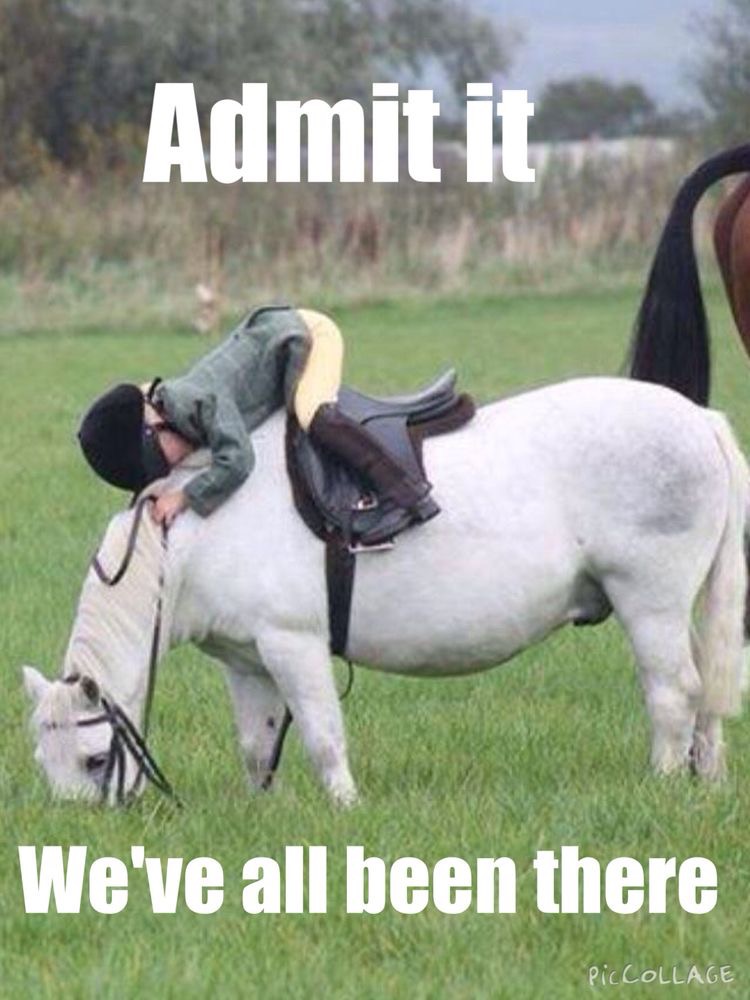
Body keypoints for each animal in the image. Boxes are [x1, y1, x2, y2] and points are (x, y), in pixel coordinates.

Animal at [22, 376, 749, 806]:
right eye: (41, 760)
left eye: (94, 759)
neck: (199, 532)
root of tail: (699, 417)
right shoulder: (247, 663)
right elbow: (257, 746)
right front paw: (263, 812)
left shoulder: (293, 646)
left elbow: (321, 735)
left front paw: (345, 808)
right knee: (703, 690)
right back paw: (706, 782)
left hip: (648, 602)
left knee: (672, 692)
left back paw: (660, 784)